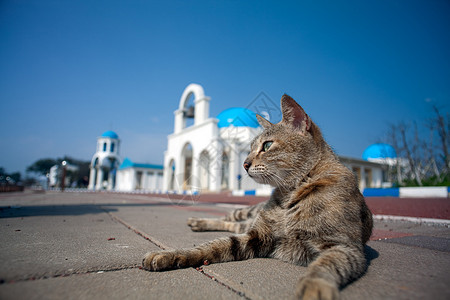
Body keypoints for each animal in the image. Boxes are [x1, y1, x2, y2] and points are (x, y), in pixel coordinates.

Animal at [143, 94, 372, 300]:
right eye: (250, 148)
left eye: (267, 146)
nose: (244, 164)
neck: (291, 192)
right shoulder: (259, 236)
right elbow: (212, 245)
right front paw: (170, 254)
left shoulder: (343, 246)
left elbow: (324, 266)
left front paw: (314, 287)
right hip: (245, 213)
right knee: (229, 218)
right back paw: (199, 221)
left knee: (234, 225)